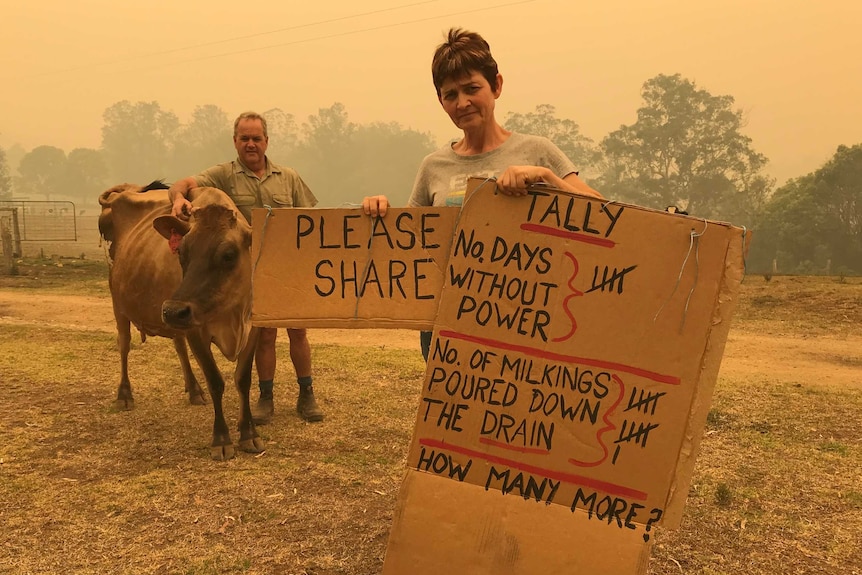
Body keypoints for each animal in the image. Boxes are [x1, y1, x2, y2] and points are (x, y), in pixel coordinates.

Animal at [99, 182, 262, 462]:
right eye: (182, 253)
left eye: (229, 255)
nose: (173, 310)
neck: (233, 315)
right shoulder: (196, 331)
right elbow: (216, 381)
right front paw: (221, 439)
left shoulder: (253, 329)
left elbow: (243, 380)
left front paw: (248, 434)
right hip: (119, 302)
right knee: (124, 345)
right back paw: (124, 395)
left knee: (178, 346)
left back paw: (194, 389)